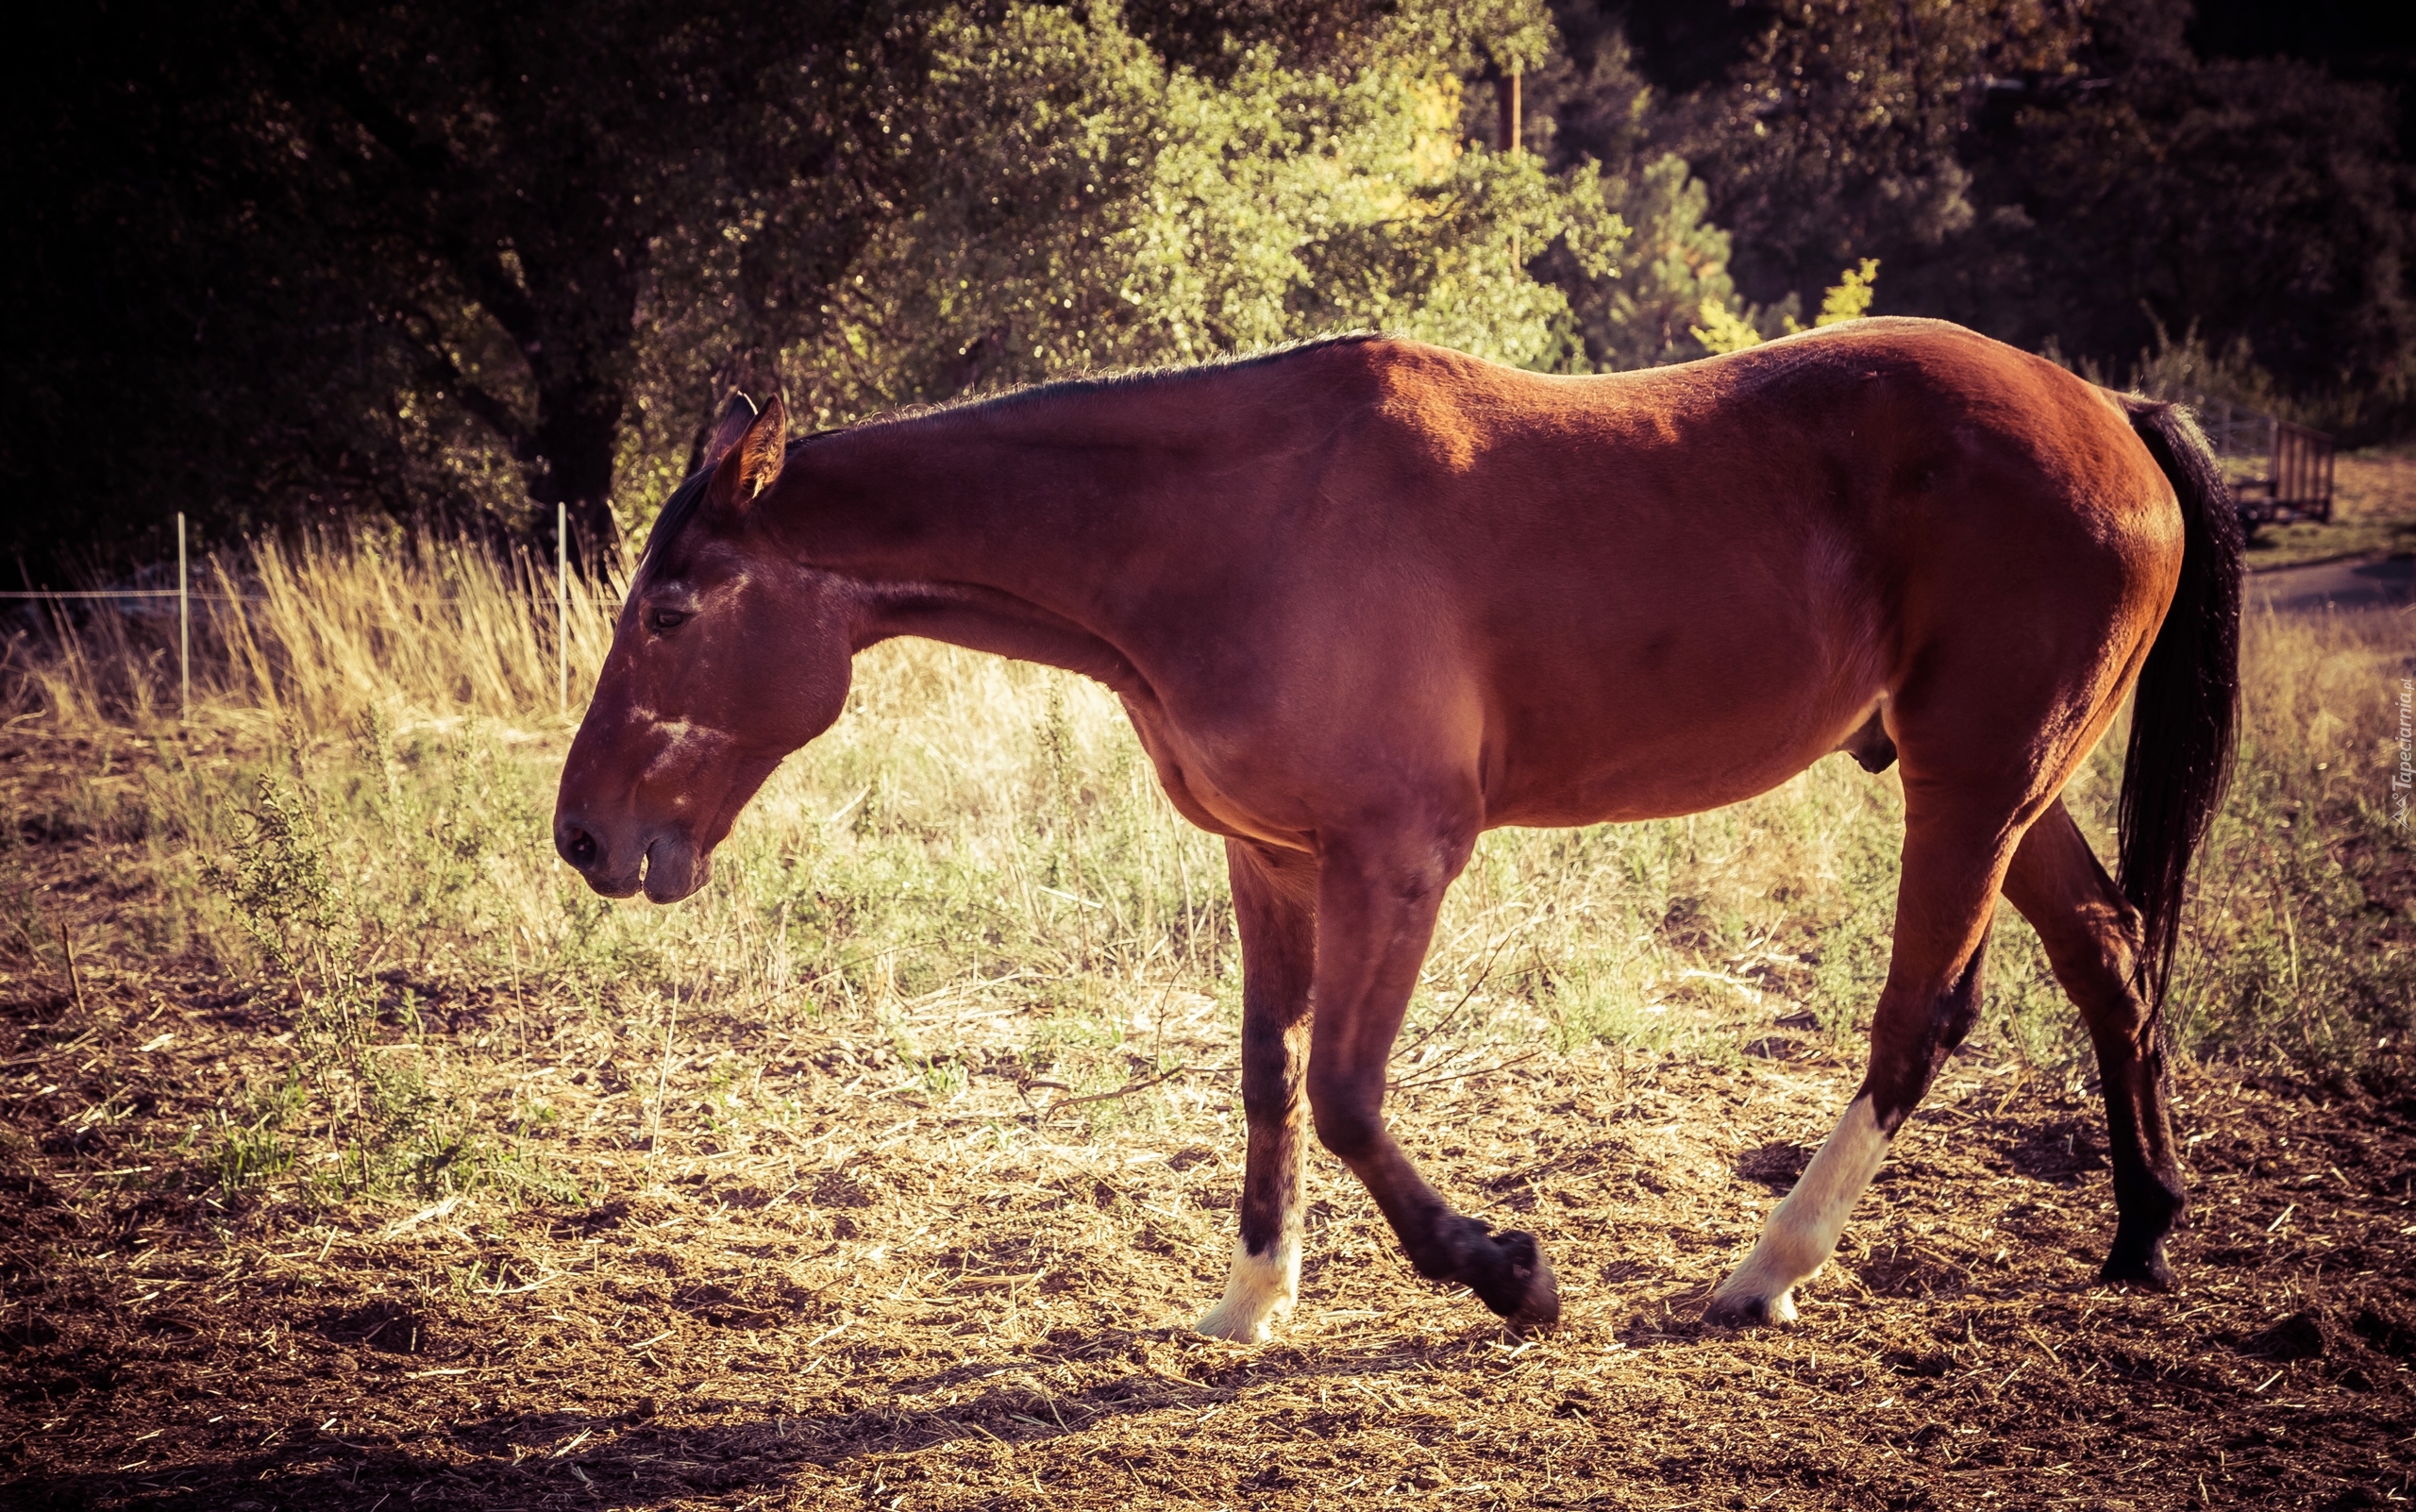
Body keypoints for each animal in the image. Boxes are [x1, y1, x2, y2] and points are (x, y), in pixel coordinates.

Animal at [555, 318, 2232, 1333]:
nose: (582, 839)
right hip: (2015, 791)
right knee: (2111, 956)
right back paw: (2142, 1227)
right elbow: (1268, 1076)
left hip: (1975, 783)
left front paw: (1508, 1274)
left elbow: (1352, 1094)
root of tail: (2109, 409)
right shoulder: (1271, 859)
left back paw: (1763, 1273)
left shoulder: (1401, 862)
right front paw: (1250, 1299)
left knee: (1917, 1019)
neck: (1230, 526)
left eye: (671, 609)